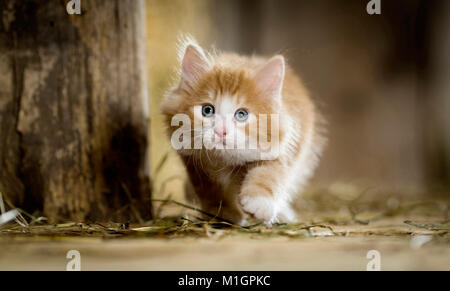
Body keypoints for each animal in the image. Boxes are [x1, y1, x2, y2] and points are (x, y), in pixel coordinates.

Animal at [161, 35, 324, 225]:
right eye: (207, 110)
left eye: (241, 114)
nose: (221, 131)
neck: (224, 160)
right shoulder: (193, 162)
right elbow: (210, 189)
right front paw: (223, 212)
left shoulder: (280, 146)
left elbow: (269, 173)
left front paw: (259, 203)